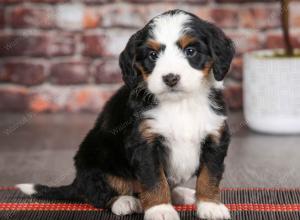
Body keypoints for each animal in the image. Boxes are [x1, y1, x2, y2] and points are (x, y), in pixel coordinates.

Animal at [17, 9, 236, 220]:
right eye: (152, 55)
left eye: (190, 51)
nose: (170, 78)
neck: (181, 103)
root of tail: (77, 182)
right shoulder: (144, 141)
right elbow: (155, 179)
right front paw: (160, 210)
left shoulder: (215, 135)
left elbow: (209, 175)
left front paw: (210, 206)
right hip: (97, 159)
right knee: (101, 193)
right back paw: (125, 202)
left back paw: (182, 194)